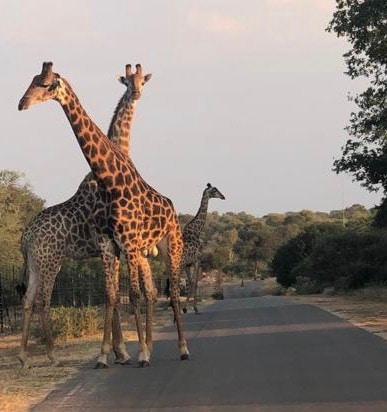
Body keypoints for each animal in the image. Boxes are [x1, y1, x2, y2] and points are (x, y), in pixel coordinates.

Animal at [18, 61, 189, 366]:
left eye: (45, 84)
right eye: (35, 82)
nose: (22, 103)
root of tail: (25, 236)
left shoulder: (120, 247)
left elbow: (122, 295)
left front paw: (123, 351)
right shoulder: (111, 245)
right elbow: (117, 295)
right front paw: (120, 352)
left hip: (167, 245)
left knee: (170, 292)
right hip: (48, 260)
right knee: (39, 300)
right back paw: (45, 355)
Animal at [181, 182, 224, 314]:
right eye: (214, 190)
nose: (223, 196)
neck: (196, 231)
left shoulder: (188, 264)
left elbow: (190, 283)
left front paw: (186, 308)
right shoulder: (197, 260)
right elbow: (195, 283)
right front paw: (195, 309)